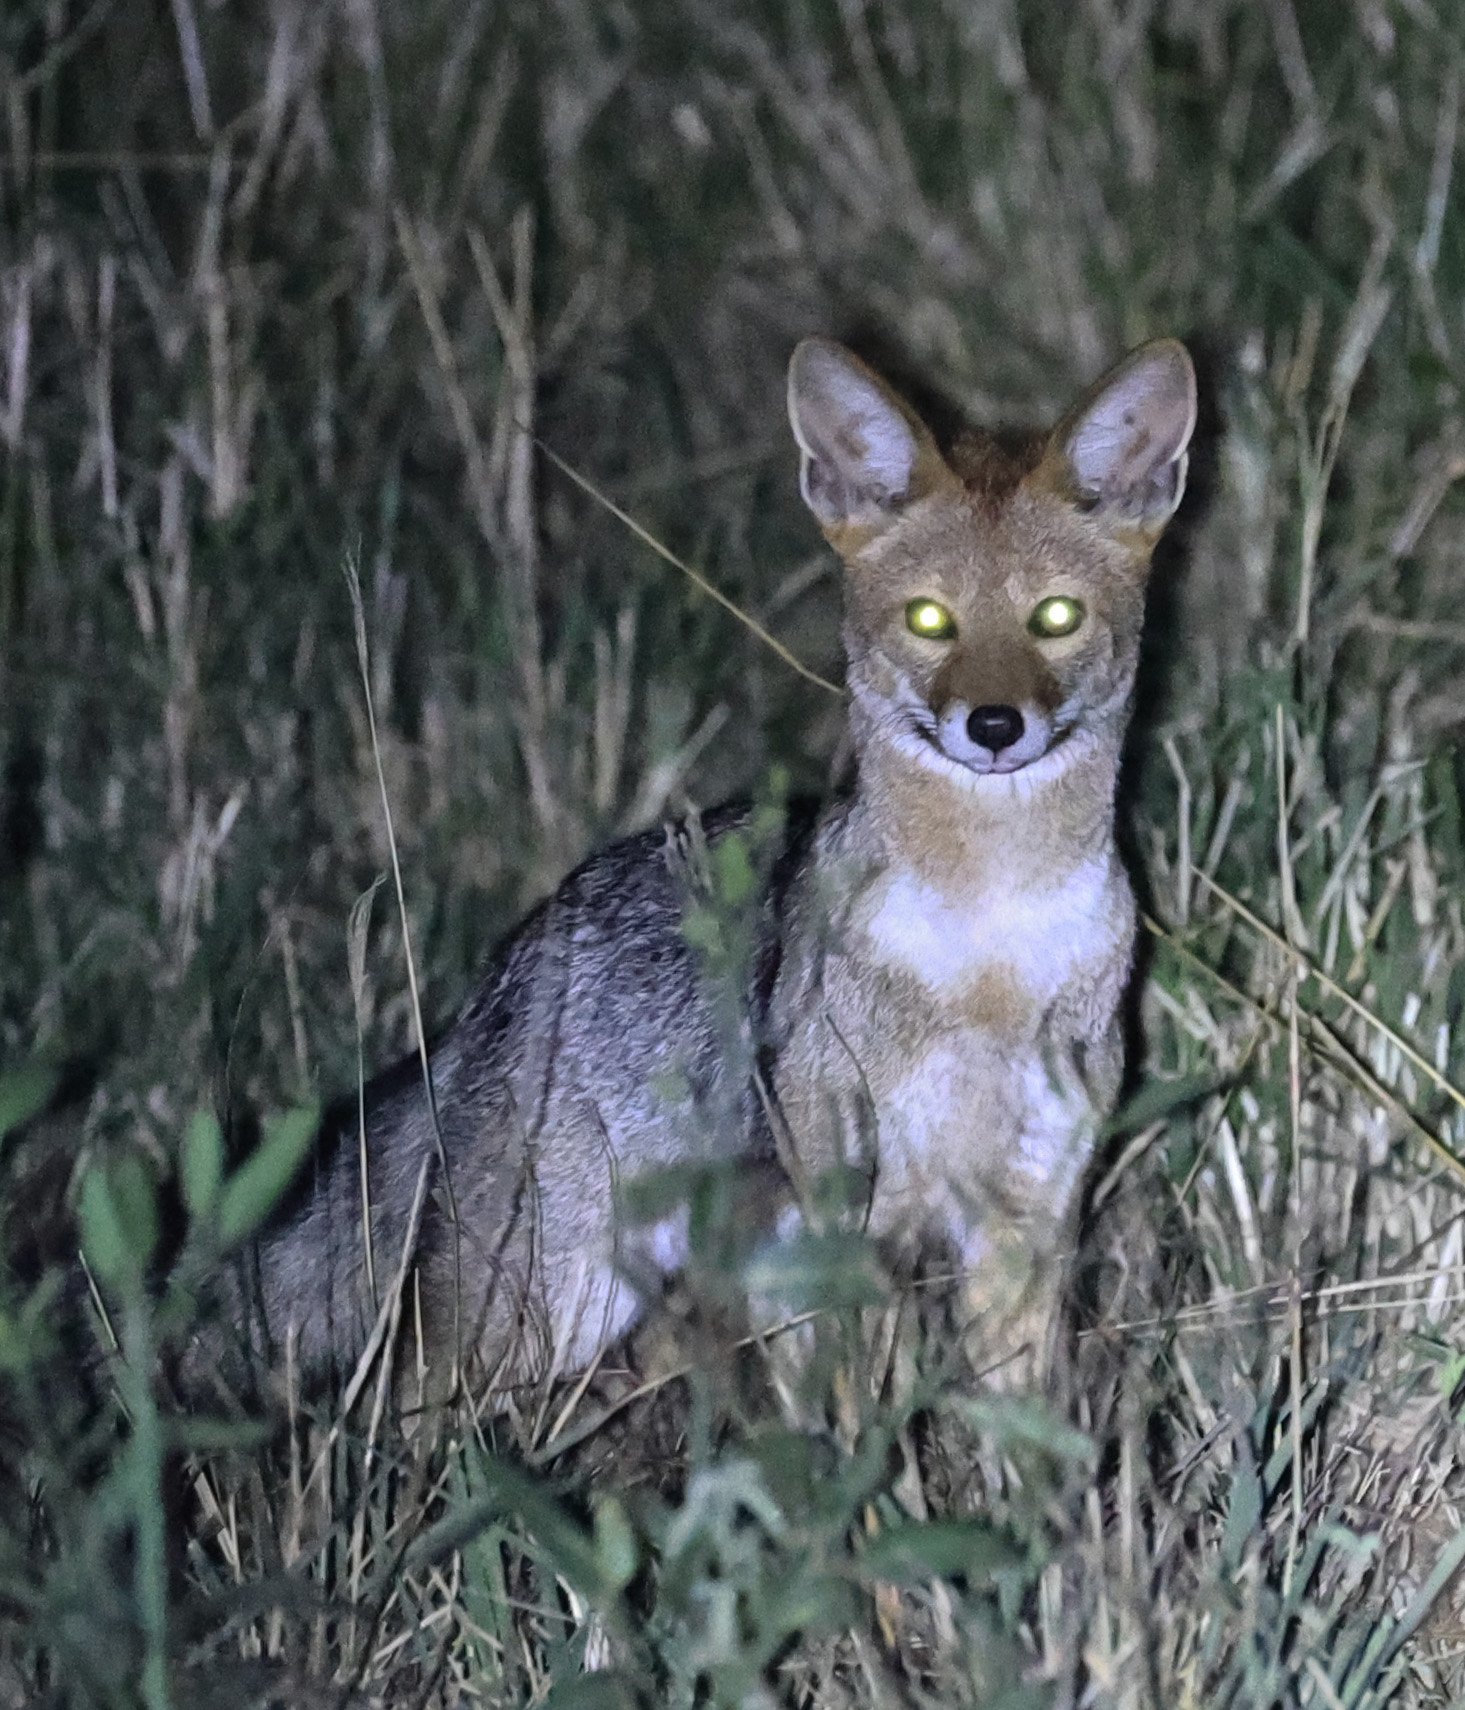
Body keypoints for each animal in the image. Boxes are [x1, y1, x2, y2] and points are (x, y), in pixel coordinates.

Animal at [207, 333, 1196, 1401]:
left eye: (1053, 617)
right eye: (930, 621)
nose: (995, 727)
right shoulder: (842, 1233)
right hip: (537, 1318)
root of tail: (499, 976)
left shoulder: (1021, 1233)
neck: (989, 954)